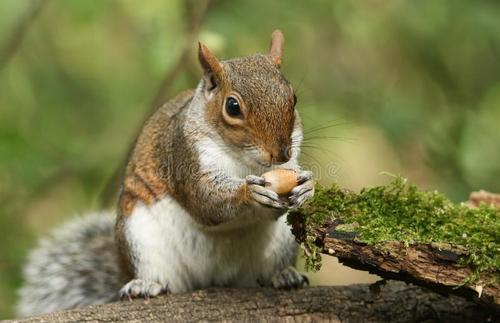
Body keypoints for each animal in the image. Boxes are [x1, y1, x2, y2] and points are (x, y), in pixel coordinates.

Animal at [17, 30, 314, 316]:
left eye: (294, 98)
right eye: (232, 107)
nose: (281, 154)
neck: (244, 160)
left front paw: (307, 187)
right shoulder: (183, 154)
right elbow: (206, 201)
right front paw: (249, 192)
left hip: (281, 243)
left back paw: (282, 275)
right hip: (140, 239)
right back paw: (145, 285)